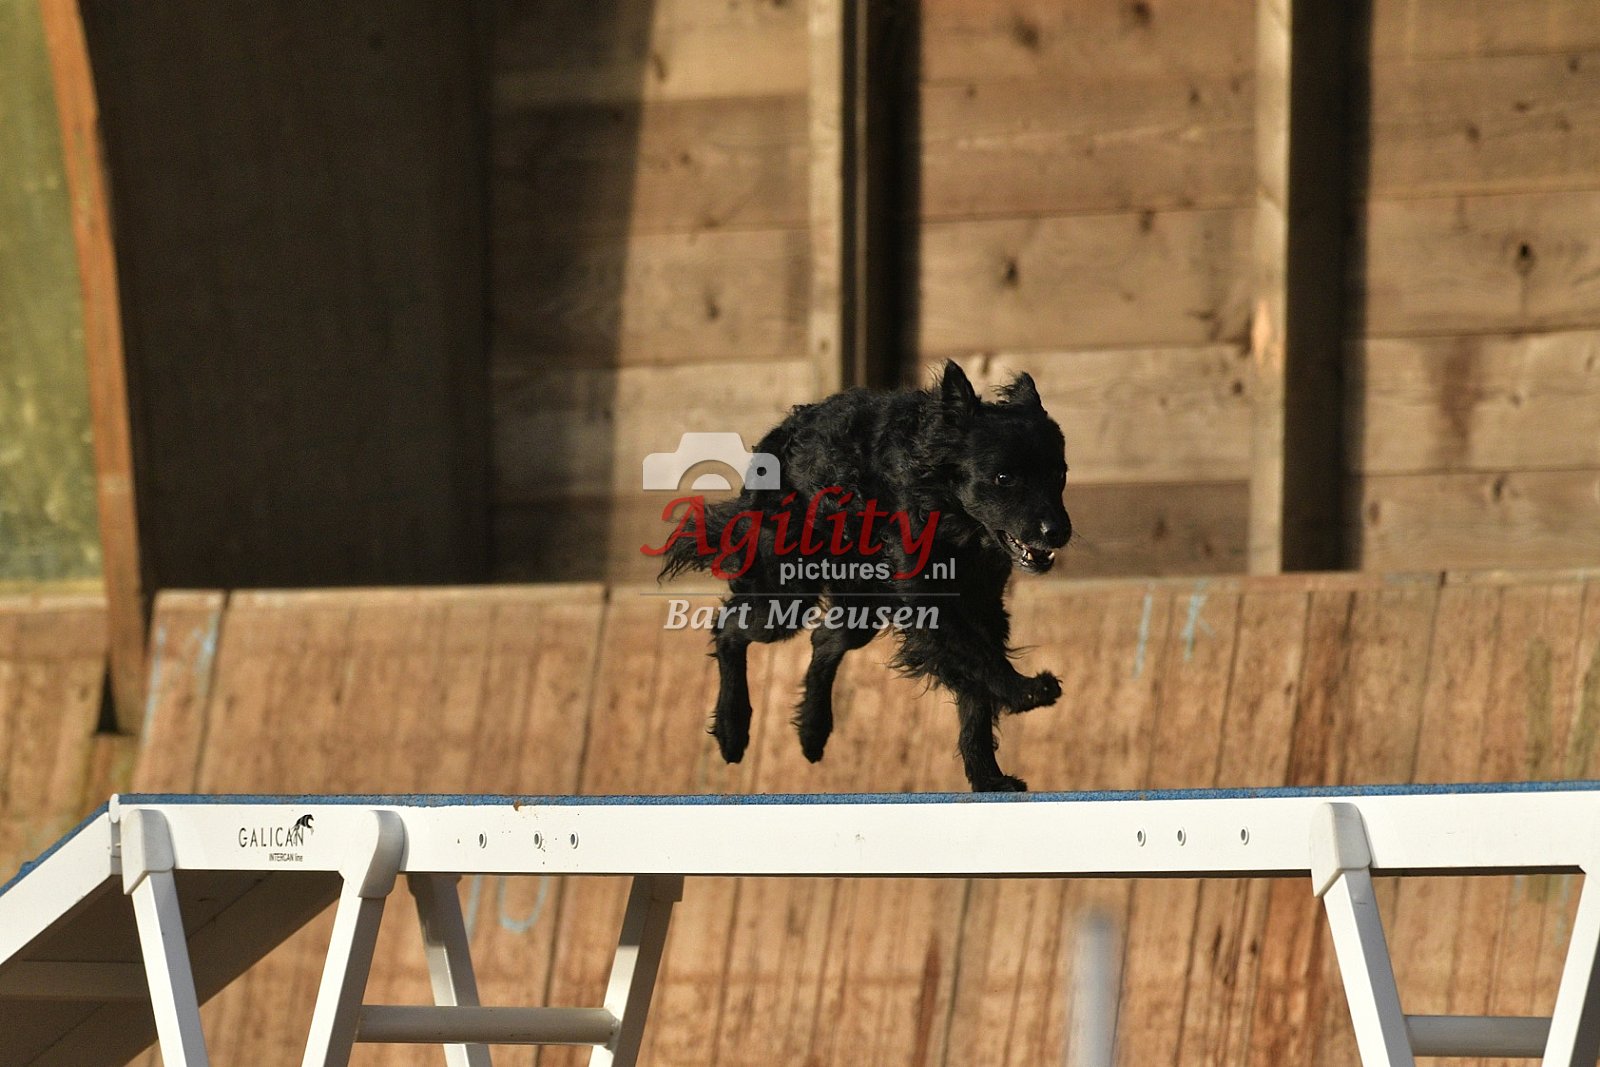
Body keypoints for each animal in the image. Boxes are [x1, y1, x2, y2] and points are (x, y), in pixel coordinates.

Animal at [657, 361, 1071, 792]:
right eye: (1004, 479)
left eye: (1059, 475)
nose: (1058, 531)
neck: (947, 508)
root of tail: (781, 430)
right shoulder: (931, 605)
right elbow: (978, 658)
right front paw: (1026, 692)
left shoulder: (982, 604)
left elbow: (976, 691)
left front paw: (987, 777)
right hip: (788, 596)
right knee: (728, 626)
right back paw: (732, 729)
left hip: (862, 604)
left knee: (824, 639)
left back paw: (812, 731)